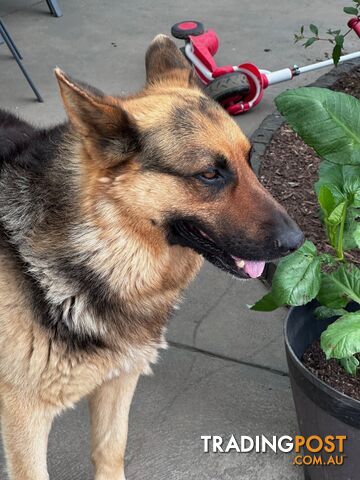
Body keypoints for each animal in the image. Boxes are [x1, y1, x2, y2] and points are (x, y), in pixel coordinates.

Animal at [0, 35, 304, 478]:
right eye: (209, 174)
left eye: (249, 162)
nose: (299, 241)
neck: (102, 246)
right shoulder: (25, 420)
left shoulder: (119, 381)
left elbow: (111, 451)